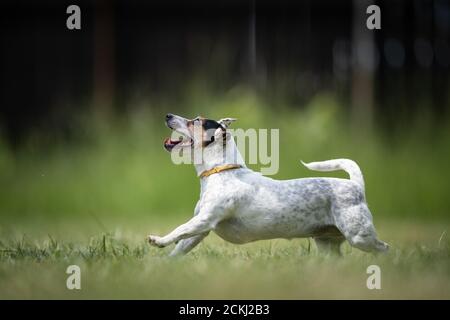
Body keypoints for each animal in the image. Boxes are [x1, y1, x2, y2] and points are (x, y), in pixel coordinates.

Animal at [146, 114, 388, 256]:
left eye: (195, 121)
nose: (168, 115)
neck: (221, 171)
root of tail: (356, 186)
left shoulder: (204, 220)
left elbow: (179, 229)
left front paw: (158, 239)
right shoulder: (200, 231)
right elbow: (179, 248)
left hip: (359, 236)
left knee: (384, 248)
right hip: (326, 242)